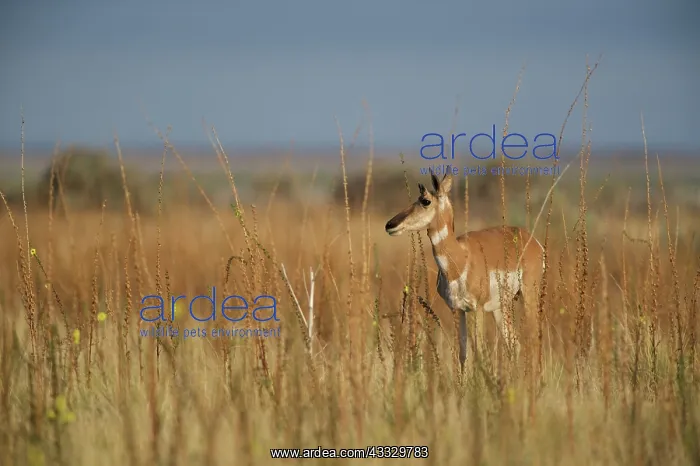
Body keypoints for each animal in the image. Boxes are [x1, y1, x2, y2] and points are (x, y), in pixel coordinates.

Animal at [385, 170, 545, 370]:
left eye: (425, 201)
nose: (390, 225)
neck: (460, 259)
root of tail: (533, 241)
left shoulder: (477, 309)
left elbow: (480, 351)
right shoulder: (458, 309)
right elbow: (464, 355)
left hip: (528, 296)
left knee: (533, 339)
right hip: (501, 306)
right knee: (514, 343)